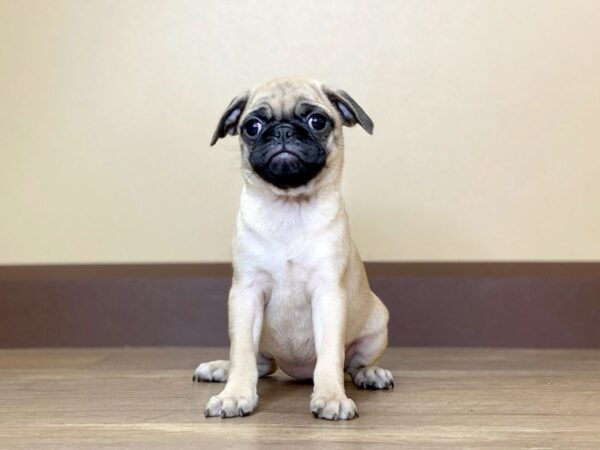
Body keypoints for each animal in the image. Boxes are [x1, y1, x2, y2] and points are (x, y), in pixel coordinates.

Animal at [195, 75, 394, 420]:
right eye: (252, 127)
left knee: (353, 365)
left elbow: (330, 356)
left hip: (376, 327)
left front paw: (331, 397)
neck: (289, 206)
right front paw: (235, 395)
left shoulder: (328, 295)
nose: (284, 131)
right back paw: (221, 369)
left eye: (317, 121)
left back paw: (371, 373)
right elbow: (242, 353)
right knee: (257, 363)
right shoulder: (246, 295)